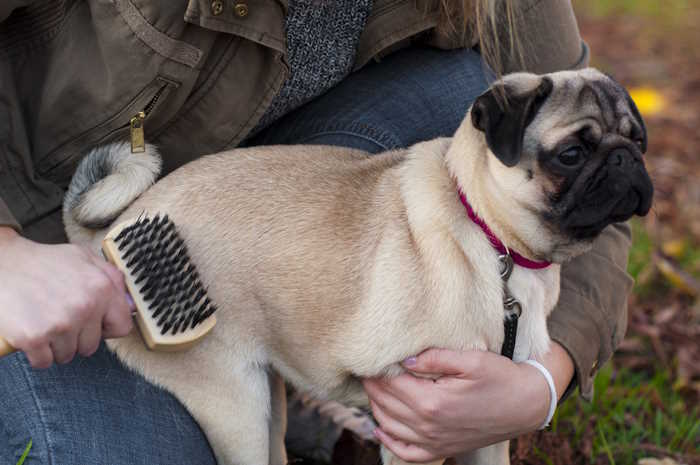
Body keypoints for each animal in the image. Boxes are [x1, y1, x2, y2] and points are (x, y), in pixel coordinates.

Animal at [63, 66, 652, 464]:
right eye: (571, 155)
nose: (626, 159)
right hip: (233, 400)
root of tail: (111, 237)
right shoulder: (415, 427)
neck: (490, 235)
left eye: (637, 139)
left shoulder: (484, 422)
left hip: (266, 391)